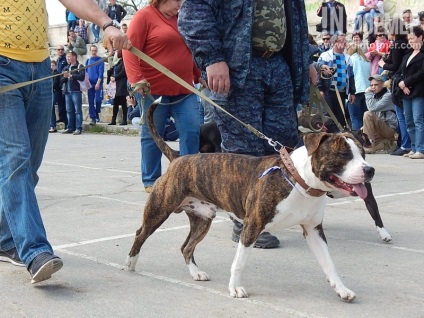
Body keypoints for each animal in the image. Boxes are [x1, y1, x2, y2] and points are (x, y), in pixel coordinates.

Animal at [126, 98, 374, 302]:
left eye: (363, 154)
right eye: (343, 155)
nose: (369, 170)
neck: (297, 179)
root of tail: (178, 158)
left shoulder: (314, 230)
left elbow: (329, 264)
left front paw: (342, 289)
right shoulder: (252, 227)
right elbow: (239, 263)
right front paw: (235, 288)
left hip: (202, 219)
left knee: (186, 247)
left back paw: (196, 272)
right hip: (159, 210)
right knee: (141, 234)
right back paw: (130, 262)